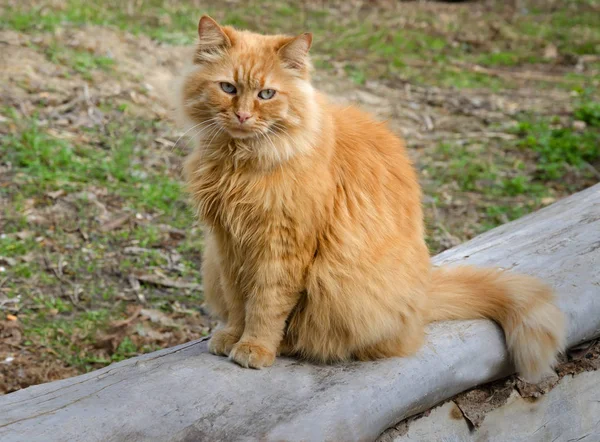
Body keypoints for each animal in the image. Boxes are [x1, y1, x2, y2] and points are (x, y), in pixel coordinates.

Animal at [176, 15, 564, 382]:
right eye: (228, 88)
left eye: (267, 95)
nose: (242, 115)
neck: (240, 164)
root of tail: (423, 297)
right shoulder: (227, 245)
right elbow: (238, 301)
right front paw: (232, 335)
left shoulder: (282, 247)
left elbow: (265, 305)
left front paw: (255, 346)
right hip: (214, 264)